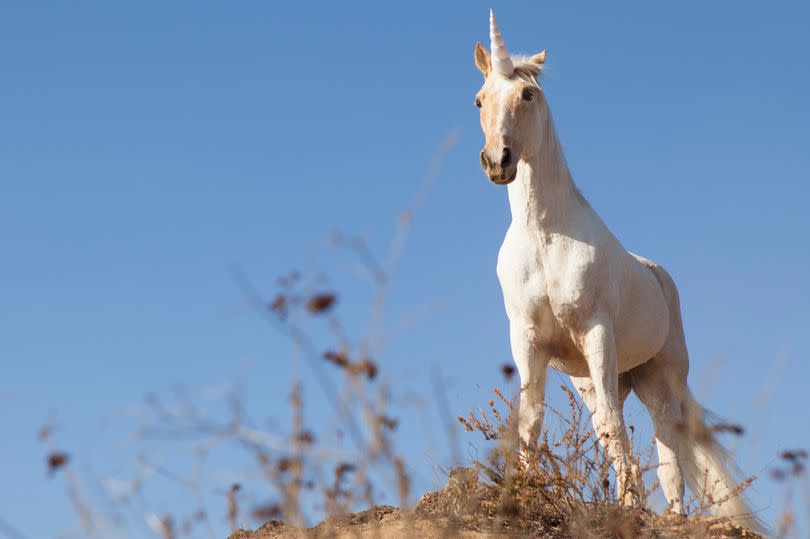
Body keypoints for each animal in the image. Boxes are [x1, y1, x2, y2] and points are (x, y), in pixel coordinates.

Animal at [470, 10, 760, 532]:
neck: (545, 235)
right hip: (595, 379)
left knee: (667, 446)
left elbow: (612, 428)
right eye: (480, 99)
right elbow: (531, 420)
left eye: (528, 95)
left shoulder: (596, 332)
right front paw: (524, 493)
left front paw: (628, 506)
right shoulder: (527, 341)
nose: (497, 162)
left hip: (657, 379)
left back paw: (670, 513)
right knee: (615, 428)